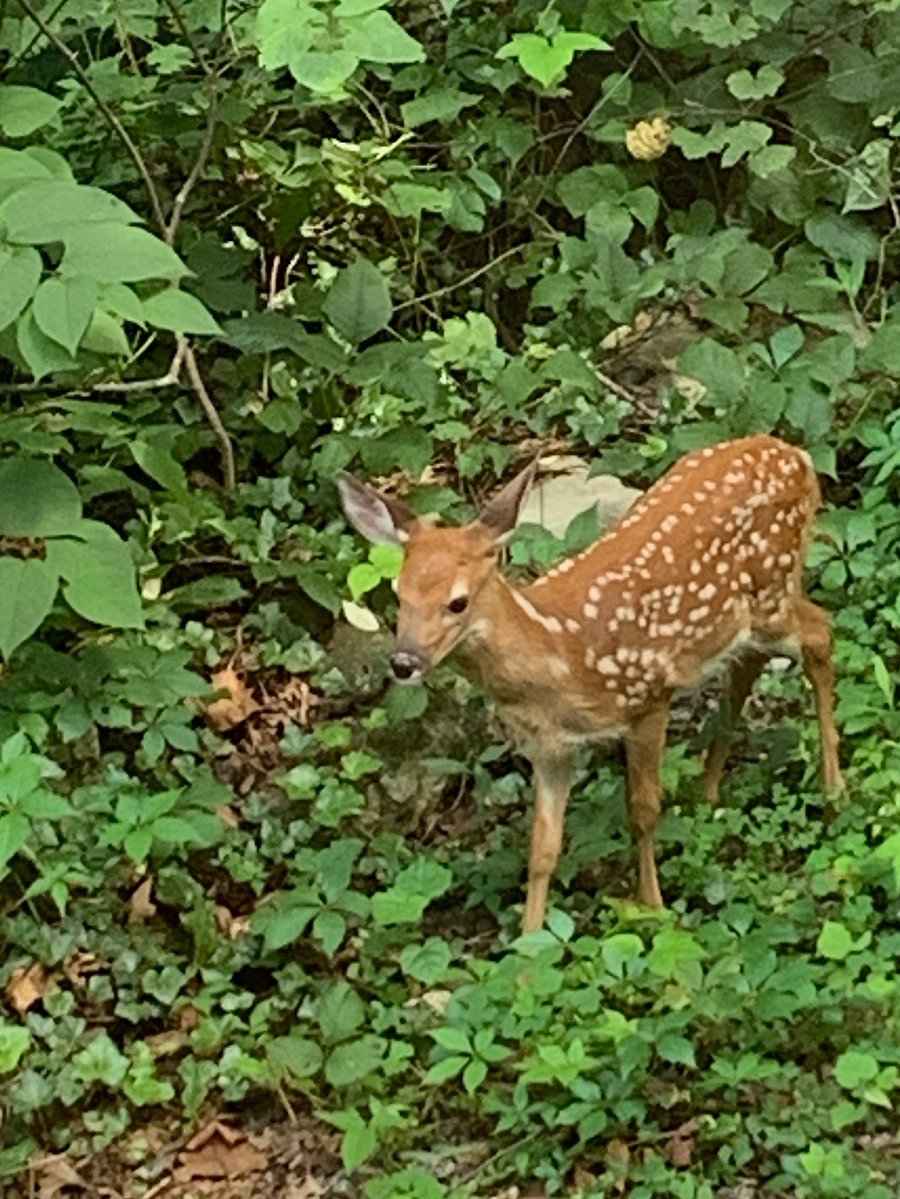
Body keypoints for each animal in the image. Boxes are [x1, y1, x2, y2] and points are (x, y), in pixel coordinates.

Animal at [338, 435, 844, 932]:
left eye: (457, 602)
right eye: (399, 595)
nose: (404, 662)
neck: (558, 655)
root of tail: (796, 454)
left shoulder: (648, 697)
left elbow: (643, 810)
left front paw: (652, 905)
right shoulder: (550, 747)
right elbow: (542, 850)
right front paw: (529, 943)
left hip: (773, 592)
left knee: (821, 632)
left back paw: (834, 789)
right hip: (744, 619)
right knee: (752, 661)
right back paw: (710, 790)